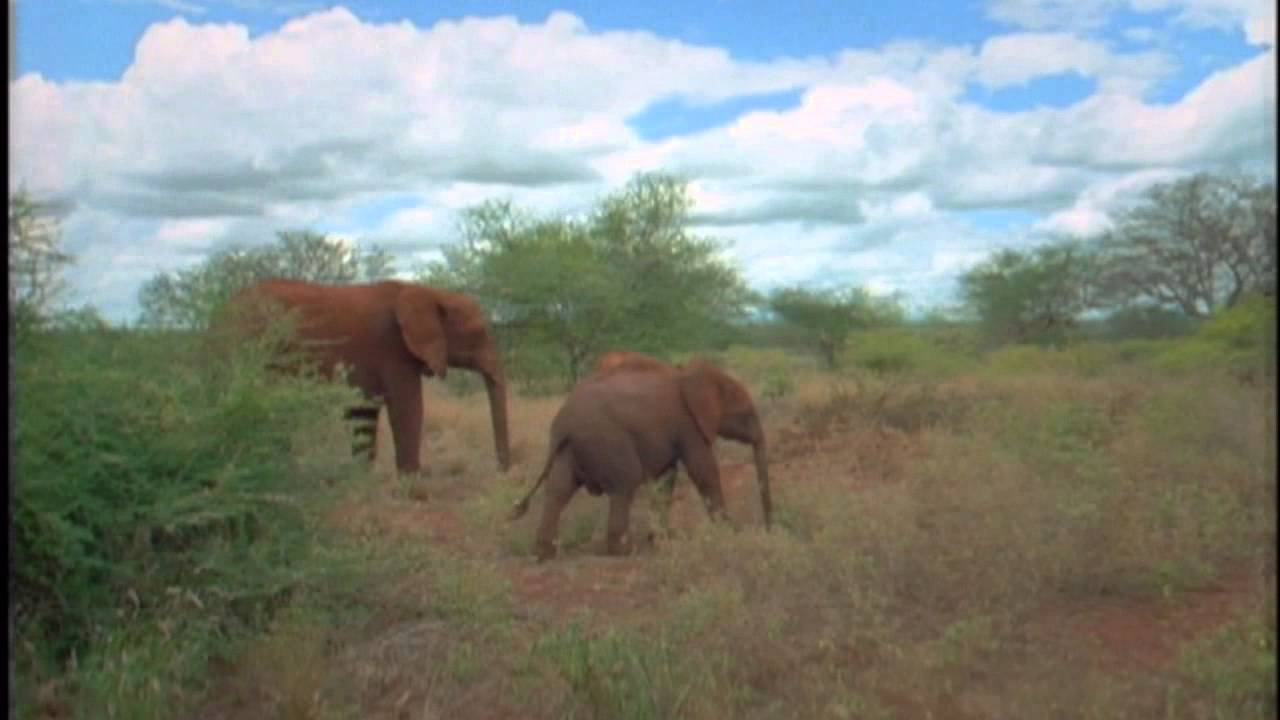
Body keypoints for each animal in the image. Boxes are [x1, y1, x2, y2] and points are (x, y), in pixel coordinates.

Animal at [226, 279, 510, 475]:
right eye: (479, 332)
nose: (501, 471)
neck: (427, 291)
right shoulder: (393, 351)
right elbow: (407, 408)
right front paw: (412, 487)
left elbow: (363, 414)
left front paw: (361, 480)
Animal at [510, 357, 771, 561]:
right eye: (747, 414)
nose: (769, 527)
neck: (690, 374)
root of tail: (563, 424)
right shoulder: (689, 425)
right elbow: (703, 470)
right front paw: (731, 531)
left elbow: (667, 479)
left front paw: (662, 538)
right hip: (607, 441)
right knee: (624, 484)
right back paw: (625, 550)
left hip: (569, 450)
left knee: (558, 490)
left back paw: (543, 554)